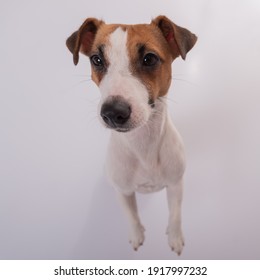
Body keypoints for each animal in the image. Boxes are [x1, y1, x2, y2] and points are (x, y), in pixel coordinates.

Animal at [66, 15, 197, 256]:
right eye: (97, 59)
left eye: (149, 58)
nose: (112, 112)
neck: (143, 145)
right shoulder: (124, 191)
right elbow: (132, 216)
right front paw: (137, 235)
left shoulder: (176, 184)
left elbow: (175, 215)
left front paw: (174, 237)